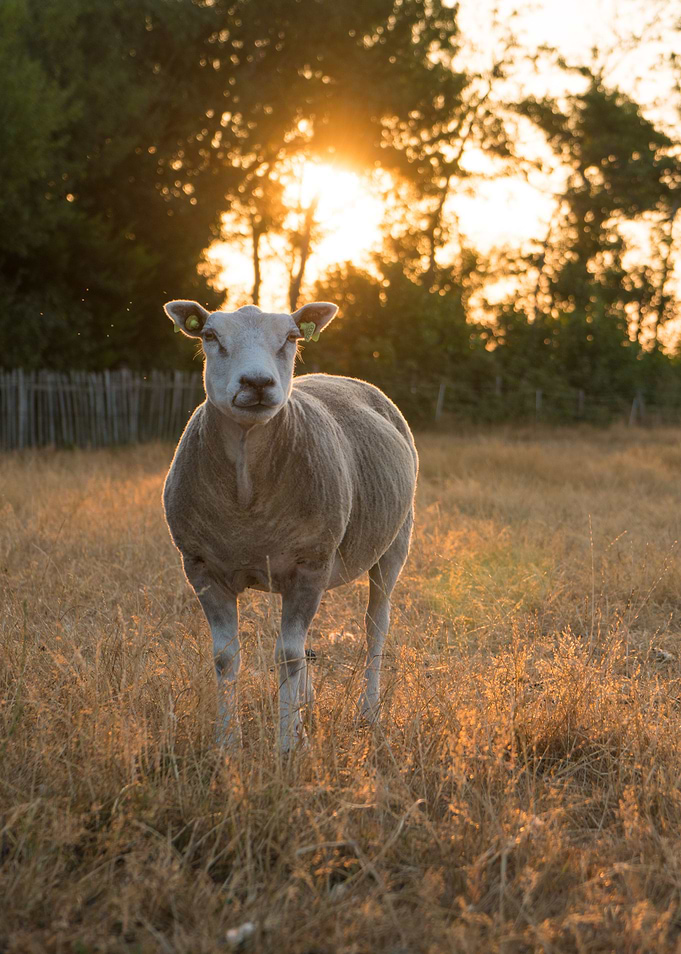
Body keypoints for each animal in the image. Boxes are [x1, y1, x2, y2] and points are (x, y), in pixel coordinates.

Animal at [162, 298, 418, 751]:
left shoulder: (309, 564)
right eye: (210, 335)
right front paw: (228, 744)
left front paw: (286, 745)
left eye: (292, 337)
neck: (245, 490)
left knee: (375, 628)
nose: (258, 382)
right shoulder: (201, 566)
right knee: (304, 643)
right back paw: (307, 706)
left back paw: (368, 713)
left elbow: (287, 656)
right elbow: (227, 657)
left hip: (392, 543)